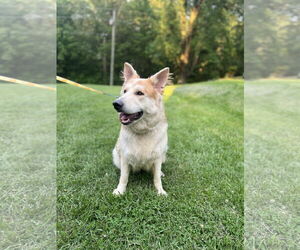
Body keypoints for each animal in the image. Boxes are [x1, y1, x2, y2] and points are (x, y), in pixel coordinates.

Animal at [112, 62, 170, 195]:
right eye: (124, 91)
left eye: (139, 93)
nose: (116, 104)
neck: (142, 131)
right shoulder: (125, 157)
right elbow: (124, 177)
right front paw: (120, 191)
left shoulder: (158, 158)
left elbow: (156, 178)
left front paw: (160, 191)